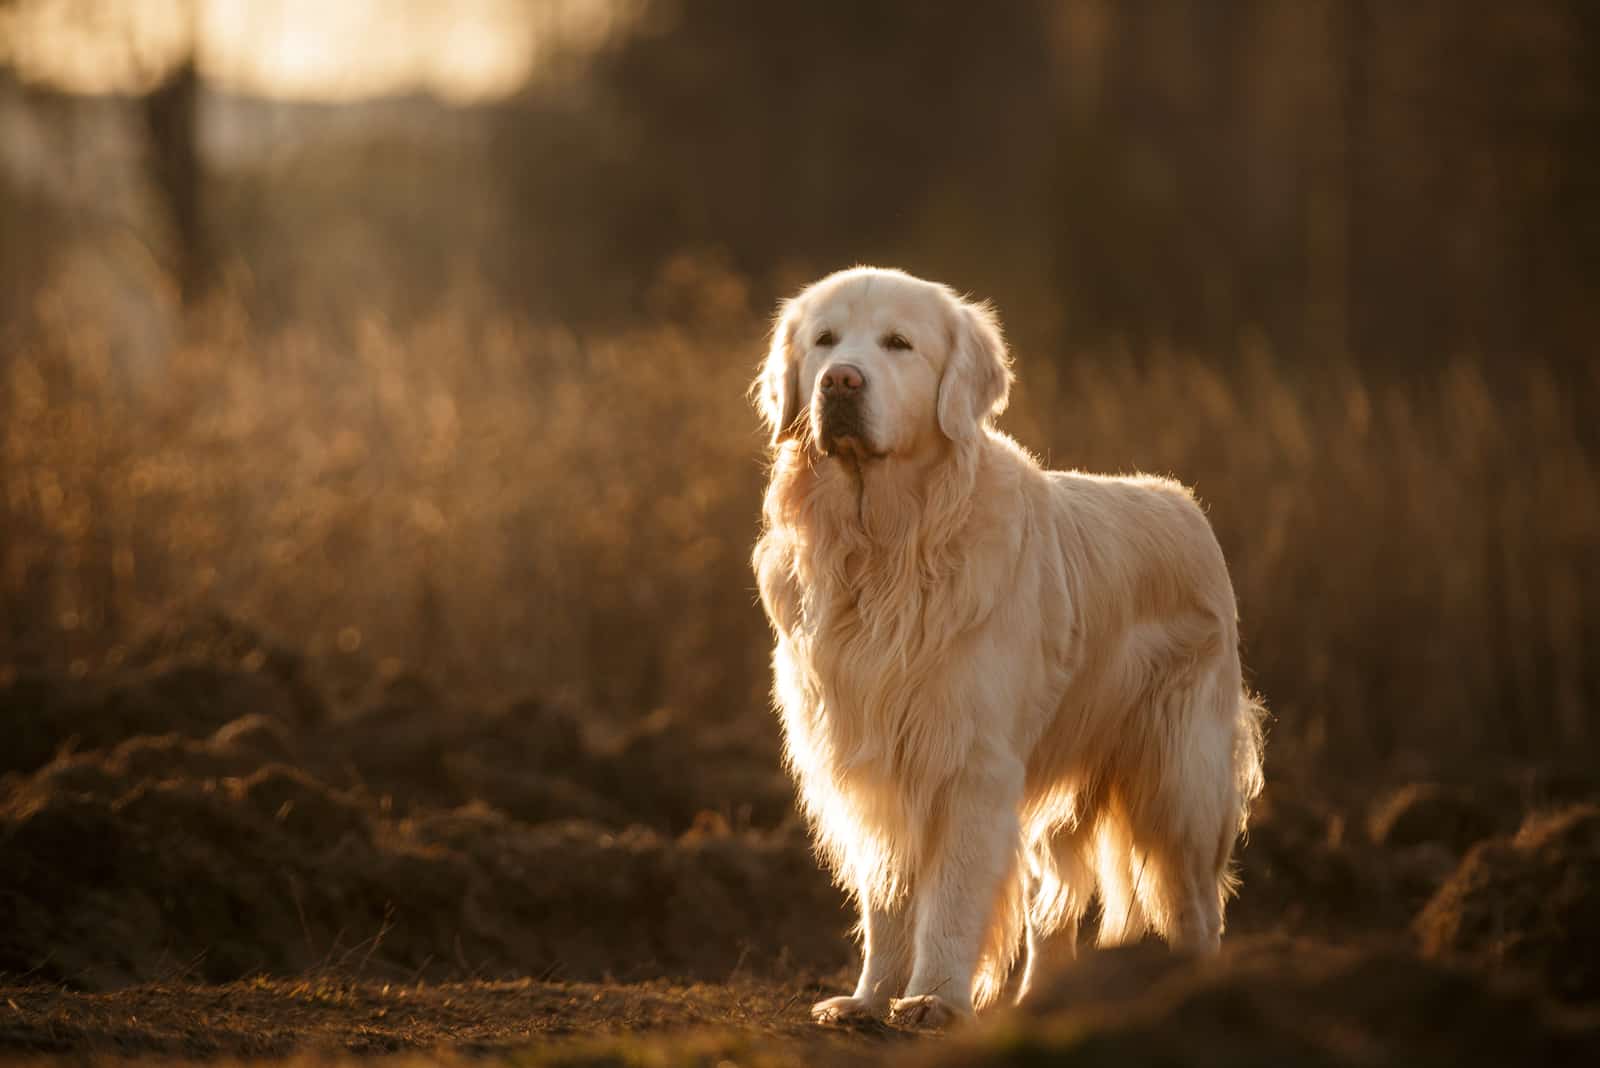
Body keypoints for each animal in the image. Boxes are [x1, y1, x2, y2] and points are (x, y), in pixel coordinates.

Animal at [745, 265, 1260, 1023]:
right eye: (824, 340)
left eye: (898, 343)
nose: (839, 381)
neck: (884, 550)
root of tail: (1184, 503)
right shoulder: (873, 761)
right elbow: (889, 900)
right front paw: (869, 999)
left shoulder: (971, 762)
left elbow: (952, 897)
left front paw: (933, 997)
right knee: (1057, 907)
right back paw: (1042, 1000)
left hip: (1178, 777)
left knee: (1196, 903)